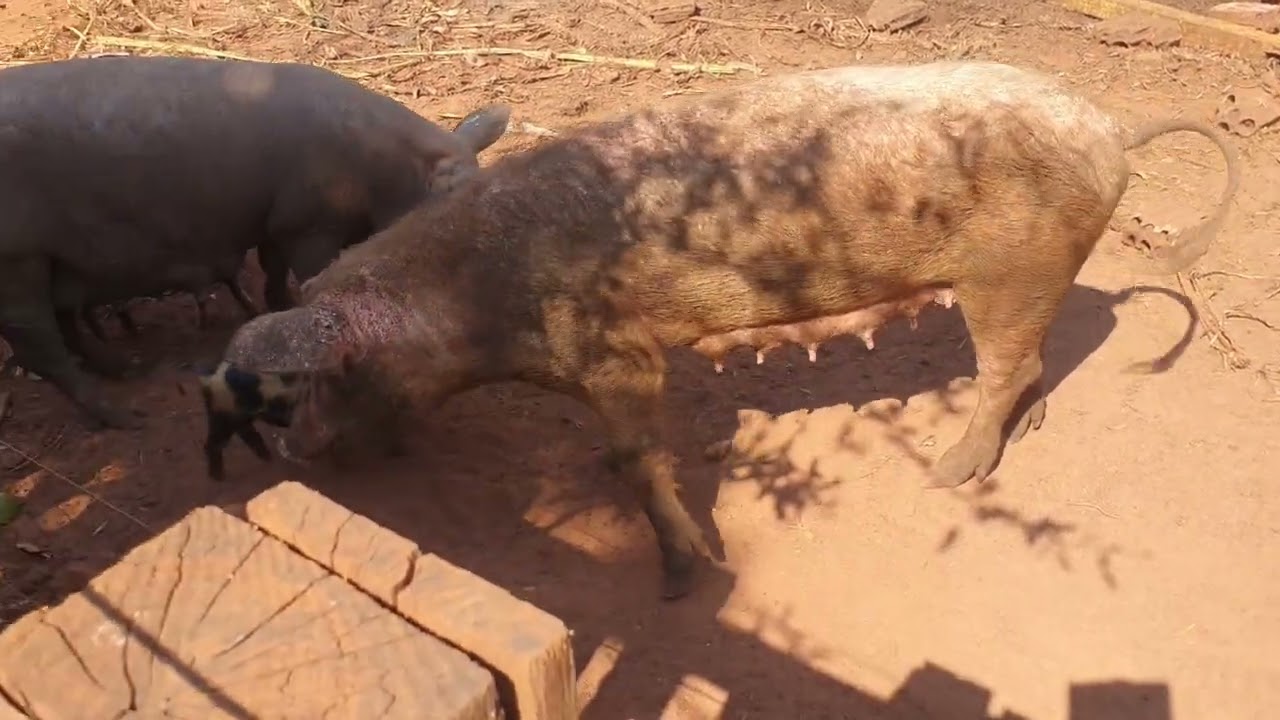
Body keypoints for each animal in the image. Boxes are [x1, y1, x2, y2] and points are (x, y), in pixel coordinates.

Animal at [0, 55, 511, 430]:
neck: (383, 172)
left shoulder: (278, 221)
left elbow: (271, 269)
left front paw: (275, 309)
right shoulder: (311, 224)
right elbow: (310, 274)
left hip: (53, 263)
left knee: (64, 327)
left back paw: (127, 368)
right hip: (18, 262)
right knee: (40, 349)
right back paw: (129, 418)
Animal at [207, 60, 1240, 600]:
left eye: (323, 379)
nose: (291, 454)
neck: (482, 292)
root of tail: (1111, 125)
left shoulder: (619, 356)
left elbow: (639, 458)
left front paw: (680, 578)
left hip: (1010, 275)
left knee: (1000, 368)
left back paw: (953, 472)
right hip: (1034, 280)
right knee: (1028, 363)